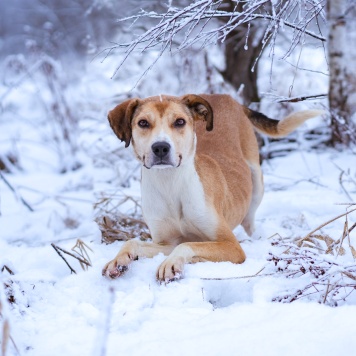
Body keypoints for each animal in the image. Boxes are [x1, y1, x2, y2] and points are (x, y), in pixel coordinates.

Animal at [101, 93, 322, 282]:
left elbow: (187, 244)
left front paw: (172, 263)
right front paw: (118, 260)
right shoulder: (165, 242)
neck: (170, 184)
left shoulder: (231, 246)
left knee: (250, 221)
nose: (161, 147)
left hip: (256, 180)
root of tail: (224, 96)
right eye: (143, 123)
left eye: (179, 122)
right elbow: (133, 242)